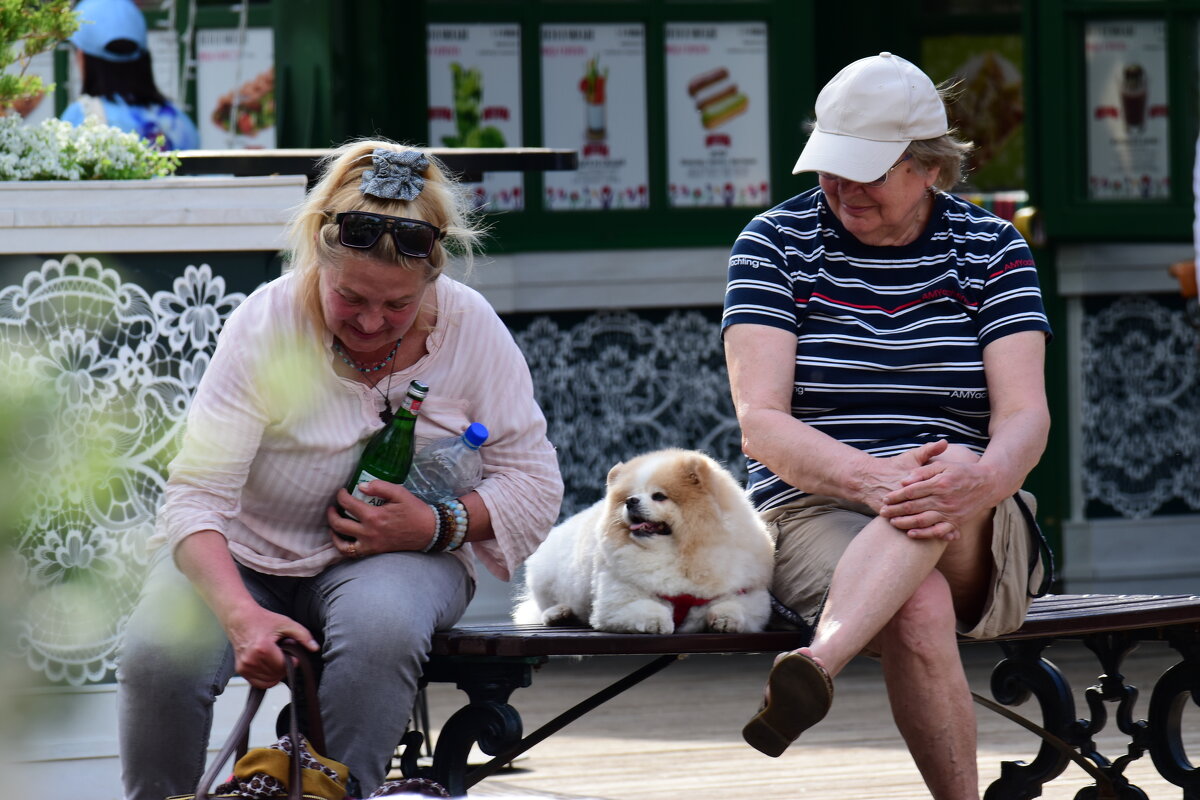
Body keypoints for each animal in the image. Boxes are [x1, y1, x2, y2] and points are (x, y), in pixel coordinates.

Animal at [516, 450, 777, 633]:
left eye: (659, 496)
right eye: (628, 497)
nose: (631, 501)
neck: (677, 553)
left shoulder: (749, 593)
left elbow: (734, 605)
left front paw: (725, 618)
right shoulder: (616, 601)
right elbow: (646, 608)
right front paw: (657, 622)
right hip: (544, 574)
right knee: (541, 605)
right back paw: (558, 613)